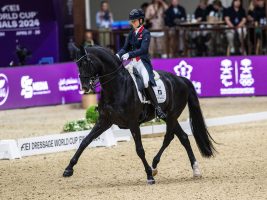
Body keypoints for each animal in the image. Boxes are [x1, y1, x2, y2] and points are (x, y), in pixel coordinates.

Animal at [63, 45, 217, 184]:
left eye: (86, 62)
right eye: (77, 64)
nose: (85, 87)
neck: (117, 86)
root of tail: (181, 79)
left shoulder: (133, 123)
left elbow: (140, 149)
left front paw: (149, 176)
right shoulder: (105, 121)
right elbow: (85, 141)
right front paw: (68, 169)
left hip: (172, 115)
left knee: (169, 137)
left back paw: (154, 167)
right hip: (169, 117)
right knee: (183, 138)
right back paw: (194, 169)